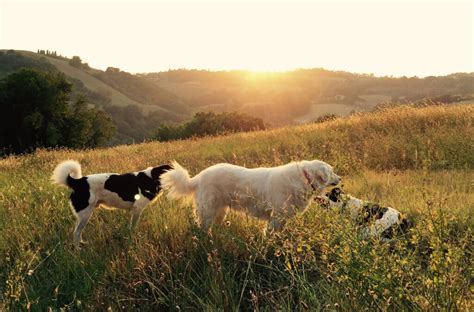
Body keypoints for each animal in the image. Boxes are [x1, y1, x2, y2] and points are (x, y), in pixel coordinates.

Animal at [161, 160, 338, 230]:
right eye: (332, 171)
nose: (341, 178)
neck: (304, 178)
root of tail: (197, 178)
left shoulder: (282, 219)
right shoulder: (275, 218)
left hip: (219, 212)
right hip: (208, 213)